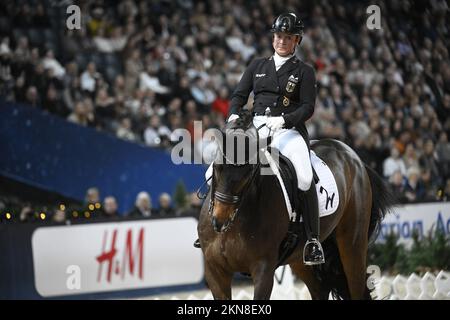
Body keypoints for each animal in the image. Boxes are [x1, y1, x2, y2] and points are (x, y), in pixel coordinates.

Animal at [196, 111, 394, 298]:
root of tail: (354, 157)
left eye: (250, 170)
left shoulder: (263, 269)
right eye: (217, 166)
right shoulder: (215, 272)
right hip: (300, 259)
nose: (220, 220)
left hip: (352, 245)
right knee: (320, 290)